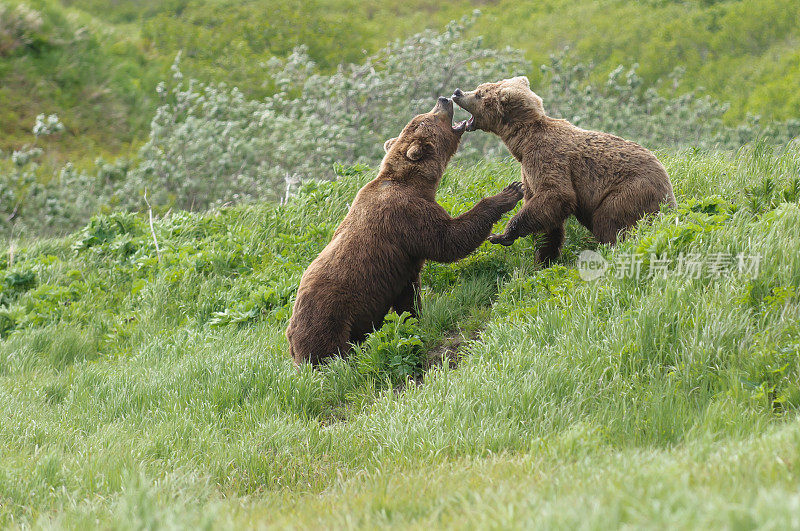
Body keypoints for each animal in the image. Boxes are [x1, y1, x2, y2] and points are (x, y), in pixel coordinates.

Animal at [288, 96, 524, 366]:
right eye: (427, 118)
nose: (443, 100)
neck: (414, 183)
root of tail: (289, 341)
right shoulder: (405, 216)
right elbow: (448, 240)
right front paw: (510, 192)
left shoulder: (402, 269)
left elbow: (408, 301)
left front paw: (414, 321)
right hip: (328, 320)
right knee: (330, 356)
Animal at [454, 76, 672, 262]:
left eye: (480, 93)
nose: (457, 92)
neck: (521, 144)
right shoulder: (528, 171)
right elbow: (546, 219)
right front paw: (544, 257)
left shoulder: (545, 157)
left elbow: (557, 194)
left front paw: (502, 235)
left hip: (631, 190)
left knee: (609, 219)